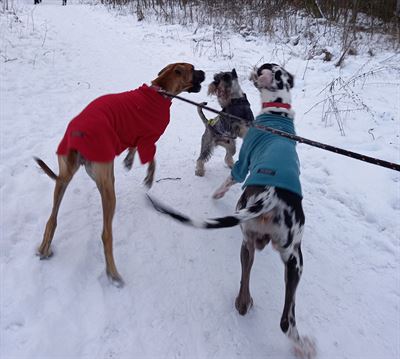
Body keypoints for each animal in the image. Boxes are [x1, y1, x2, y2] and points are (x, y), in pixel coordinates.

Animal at [34, 62, 205, 286]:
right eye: (193, 69)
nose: (205, 73)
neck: (160, 90)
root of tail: (78, 133)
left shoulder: (134, 135)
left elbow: (133, 147)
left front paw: (129, 159)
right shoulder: (148, 139)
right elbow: (151, 159)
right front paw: (148, 176)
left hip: (63, 178)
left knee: (52, 219)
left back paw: (44, 249)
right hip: (108, 186)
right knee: (106, 234)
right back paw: (113, 273)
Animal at [147, 63, 316, 358]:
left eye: (222, 78)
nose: (213, 84)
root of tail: (271, 196)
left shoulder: (240, 136)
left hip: (280, 252)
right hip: (289, 257)